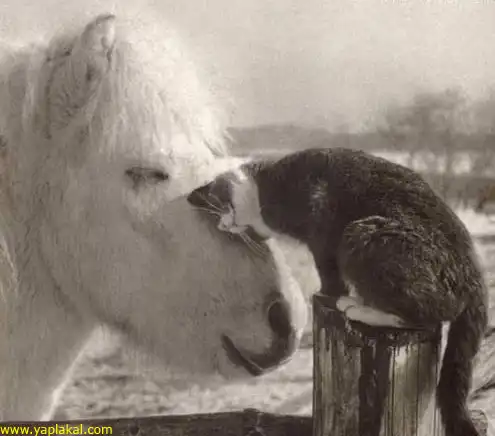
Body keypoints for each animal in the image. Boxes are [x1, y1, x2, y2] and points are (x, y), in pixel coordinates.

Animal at [187, 147, 488, 436]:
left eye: (219, 207)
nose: (224, 225)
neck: (262, 188)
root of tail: (474, 275)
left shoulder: (323, 226)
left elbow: (328, 269)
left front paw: (326, 294)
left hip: (364, 234)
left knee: (428, 314)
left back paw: (359, 308)